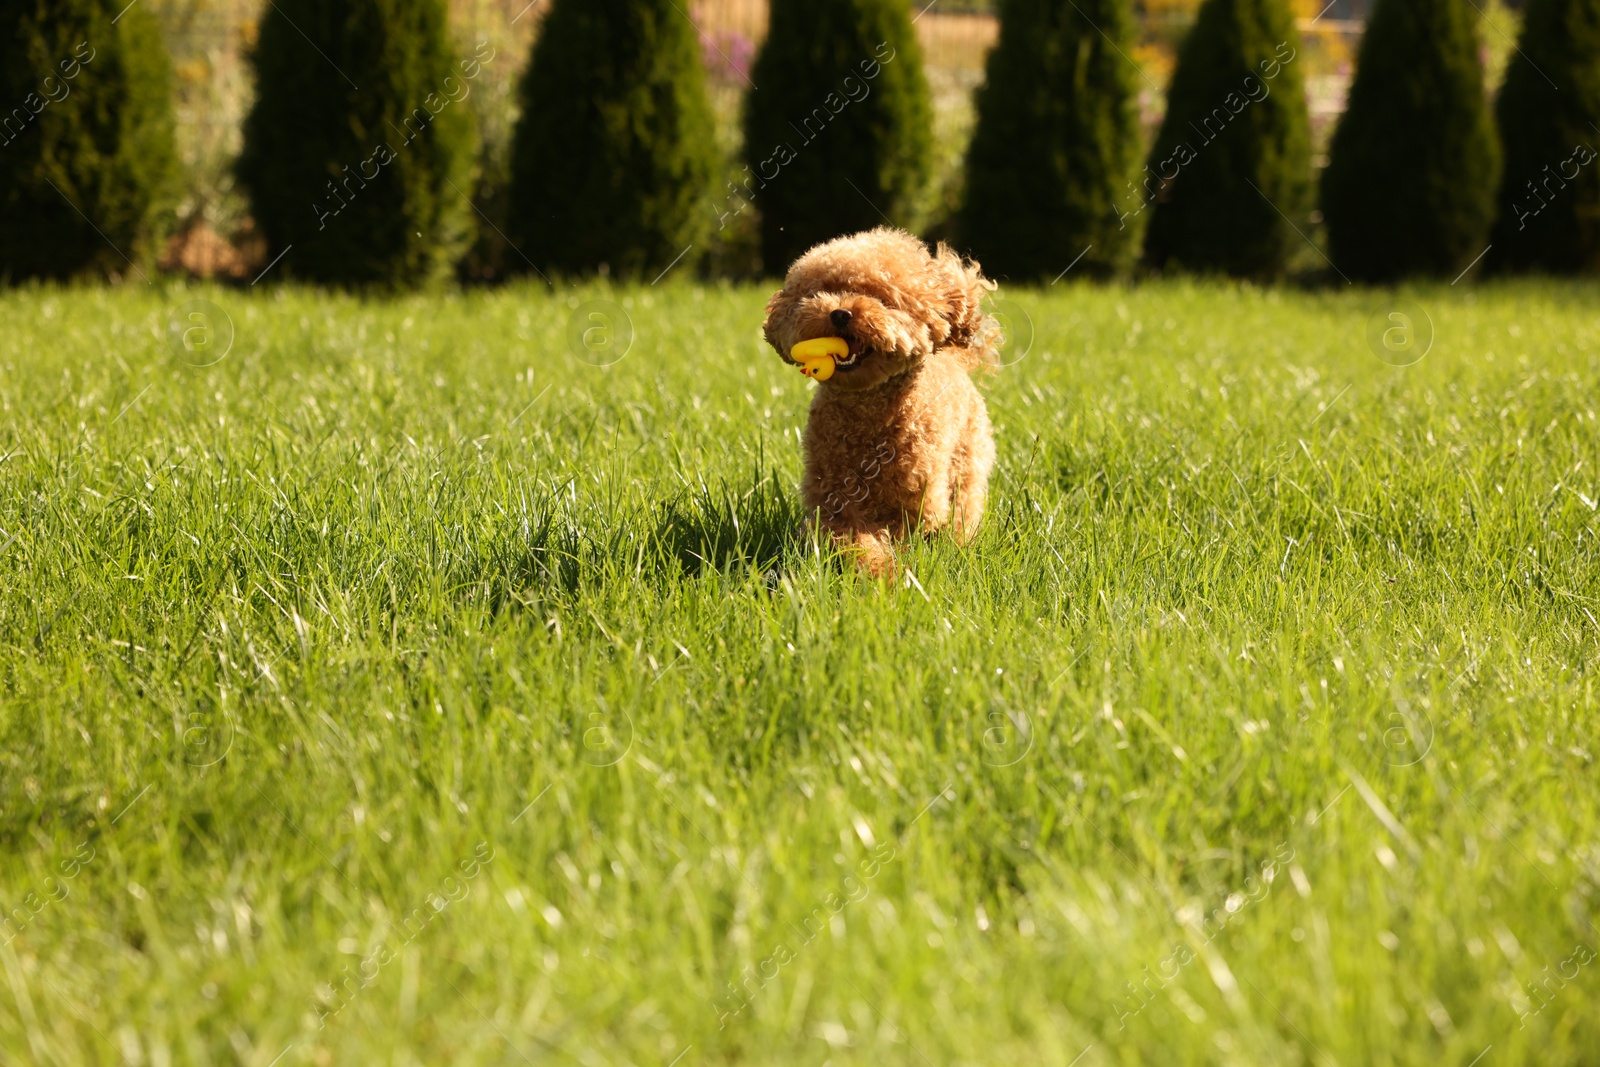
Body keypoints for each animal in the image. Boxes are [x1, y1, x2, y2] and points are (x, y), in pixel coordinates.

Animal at [761, 225, 998, 575]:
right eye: (827, 290)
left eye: (883, 299)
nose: (840, 313)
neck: (867, 414)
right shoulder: (833, 501)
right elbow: (853, 539)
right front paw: (878, 572)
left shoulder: (915, 505)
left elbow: (899, 533)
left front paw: (888, 576)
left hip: (966, 459)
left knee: (963, 507)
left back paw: (959, 543)